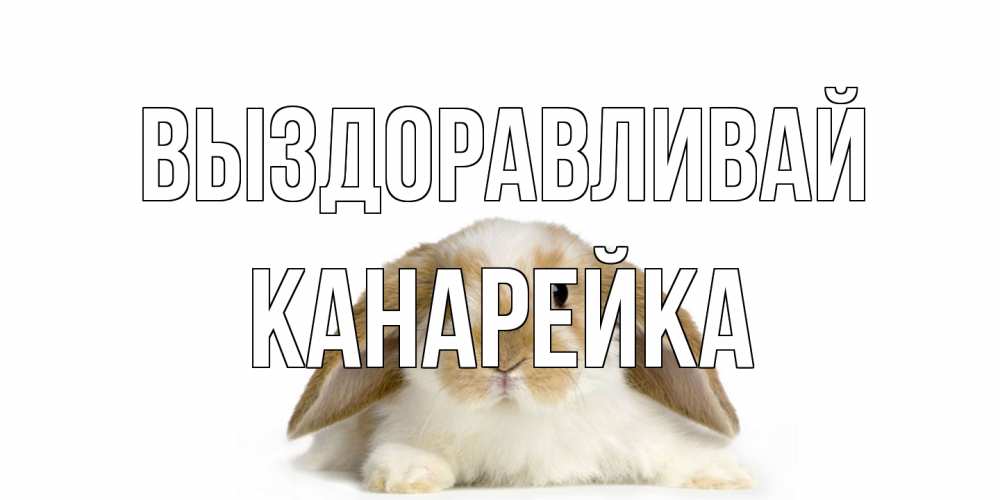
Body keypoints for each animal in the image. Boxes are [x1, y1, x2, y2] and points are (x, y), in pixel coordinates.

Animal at [287, 218, 752, 493]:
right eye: (448, 299)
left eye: (559, 292)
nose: (505, 360)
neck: (516, 418)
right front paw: (408, 474)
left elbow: (671, 451)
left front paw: (725, 474)